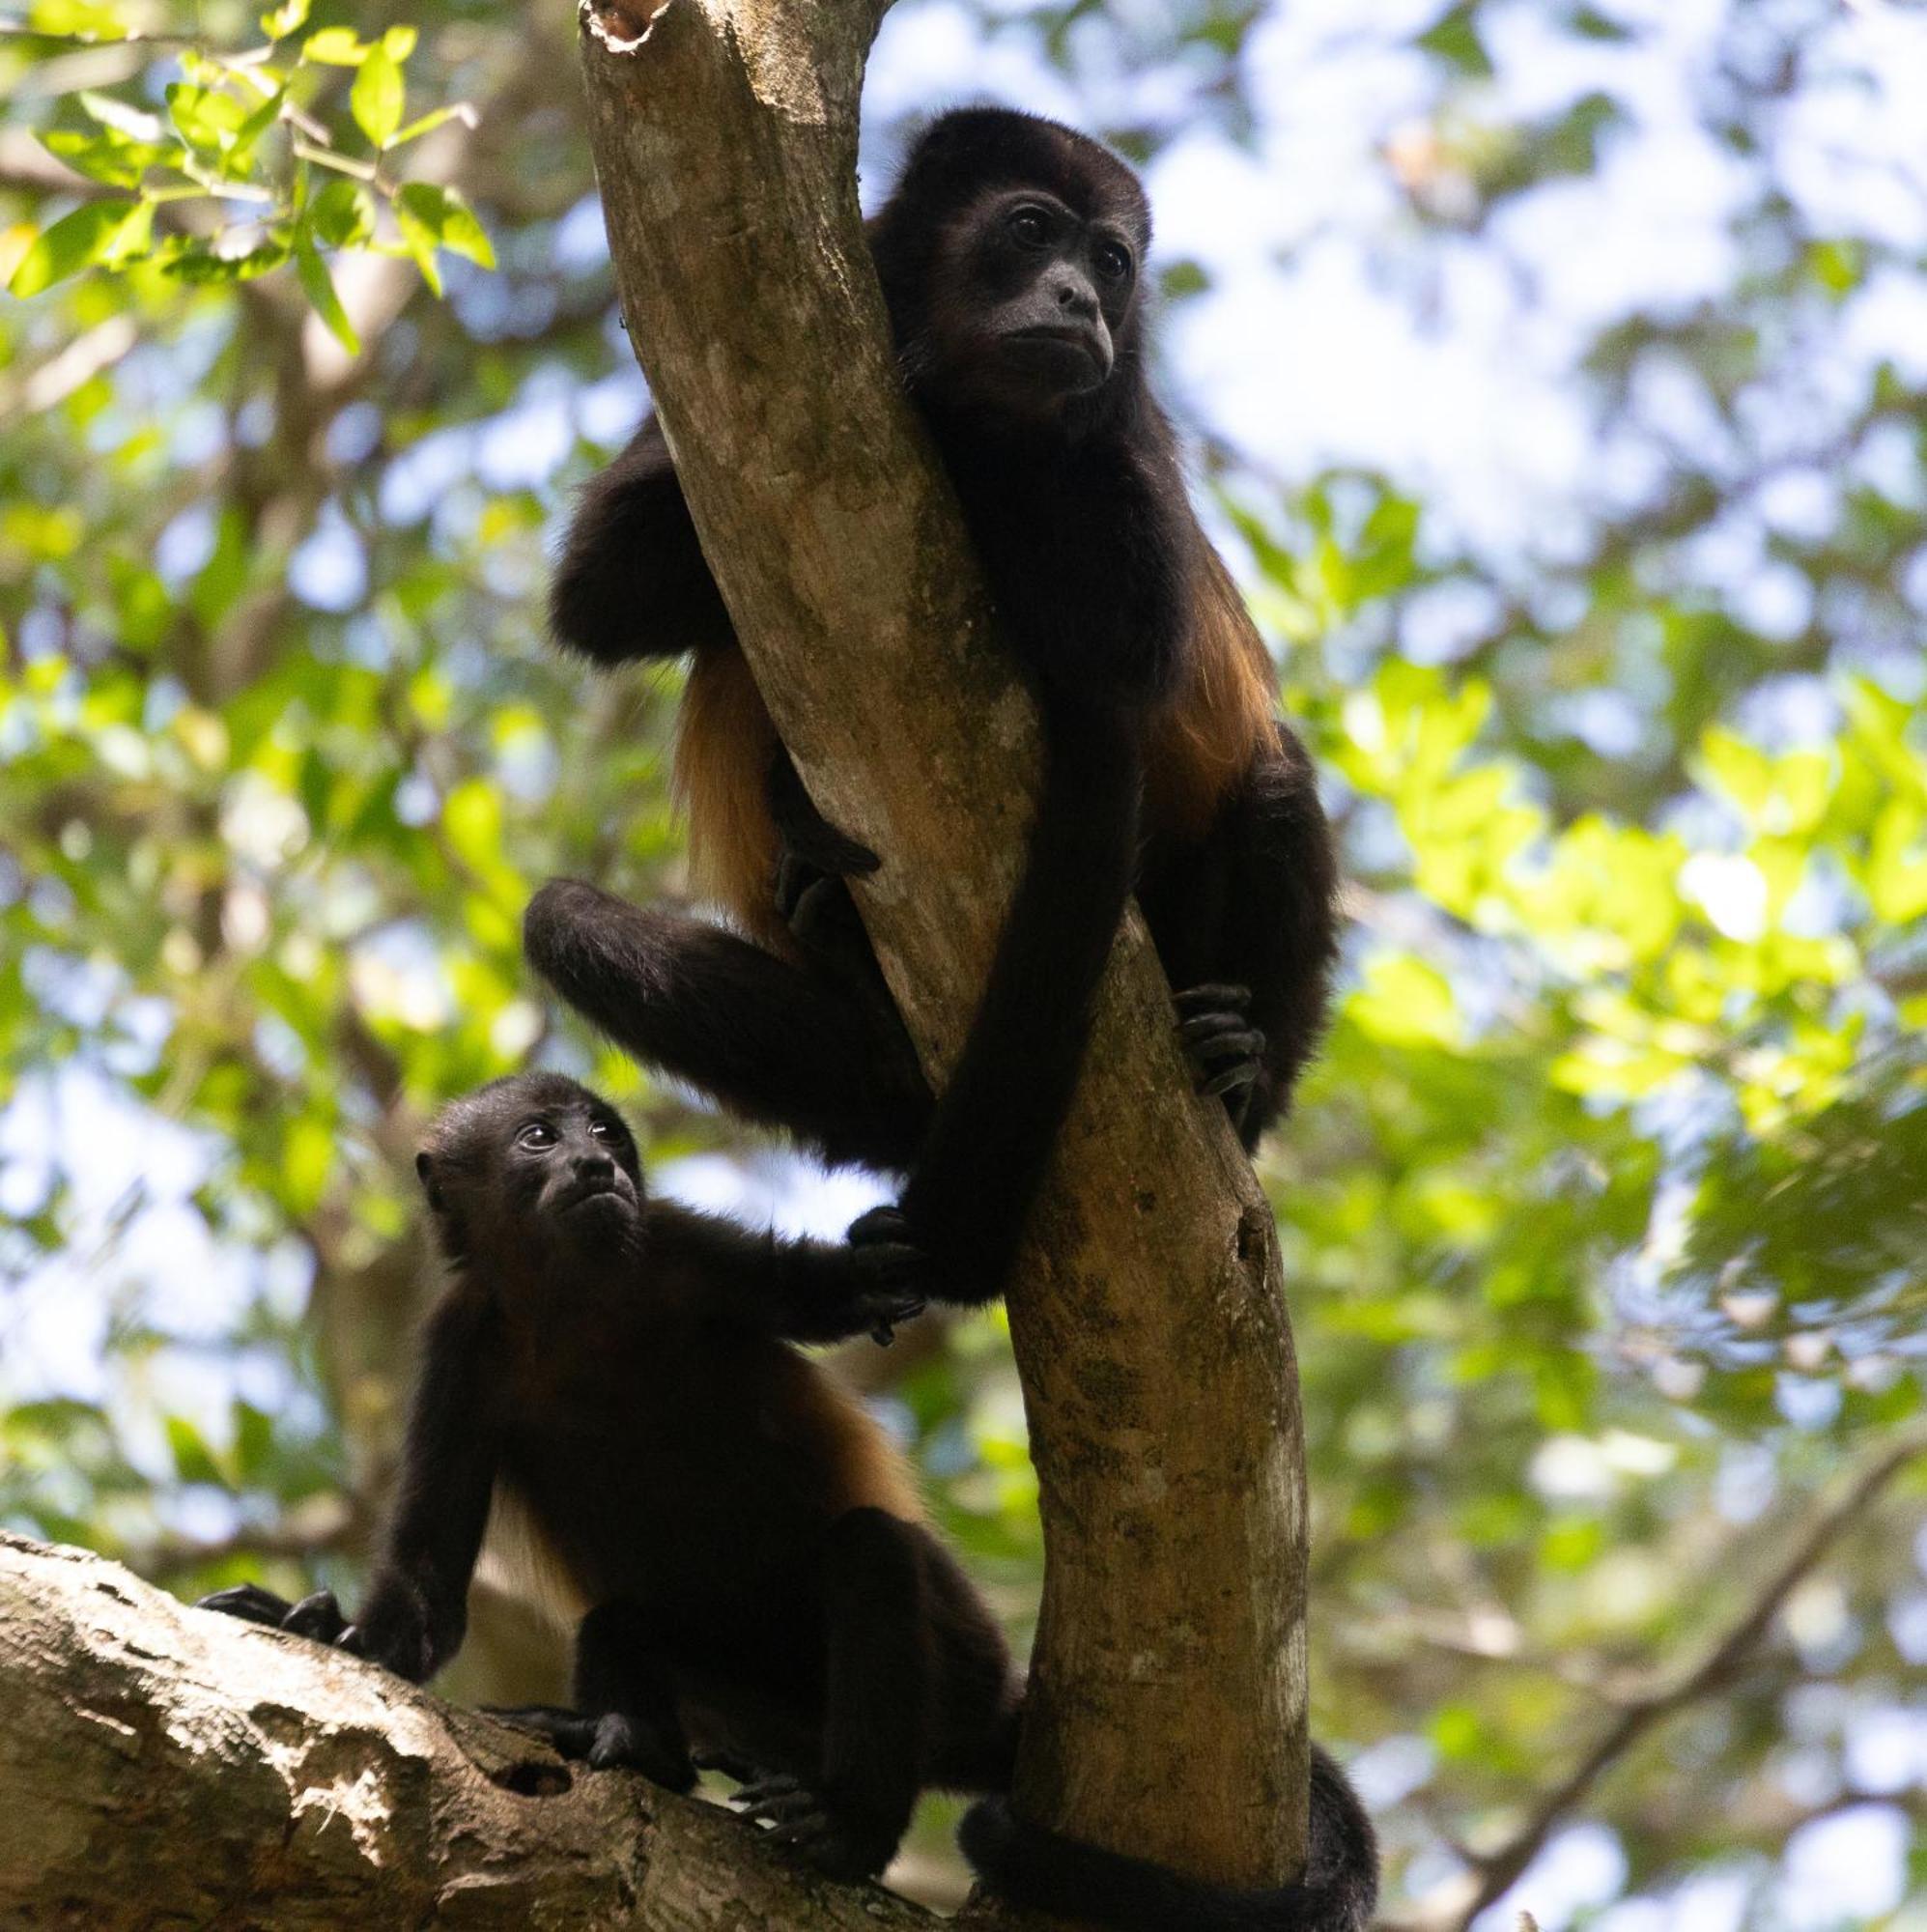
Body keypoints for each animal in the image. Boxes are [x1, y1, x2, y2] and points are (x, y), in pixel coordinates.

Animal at [195, 1082, 1382, 1924]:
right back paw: (640, 1746)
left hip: (953, 1674)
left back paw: (853, 1826)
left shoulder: (684, 1247)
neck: (579, 1303)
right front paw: (326, 1627)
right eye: (538, 1136)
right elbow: (431, 1584)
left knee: (870, 1554)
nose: (596, 1161)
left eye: (608, 1135)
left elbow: (857, 1291)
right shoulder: (460, 1347)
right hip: (761, 1704)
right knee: (623, 1621)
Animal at [528, 105, 1344, 1283]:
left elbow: (1133, 647)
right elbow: (601, 591)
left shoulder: (1126, 413)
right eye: (1031, 229)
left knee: (1274, 781)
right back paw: (827, 919)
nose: (1079, 299)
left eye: (1112, 261)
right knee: (564, 922)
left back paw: (1240, 1070)